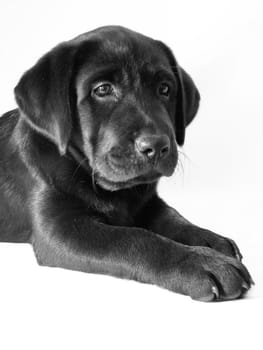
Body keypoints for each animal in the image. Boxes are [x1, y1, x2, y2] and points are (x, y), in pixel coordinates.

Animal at [0, 26, 254, 300]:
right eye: (102, 90)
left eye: (165, 89)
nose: (156, 146)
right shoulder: (60, 227)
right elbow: (135, 238)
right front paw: (201, 262)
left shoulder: (148, 203)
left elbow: (173, 218)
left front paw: (208, 240)